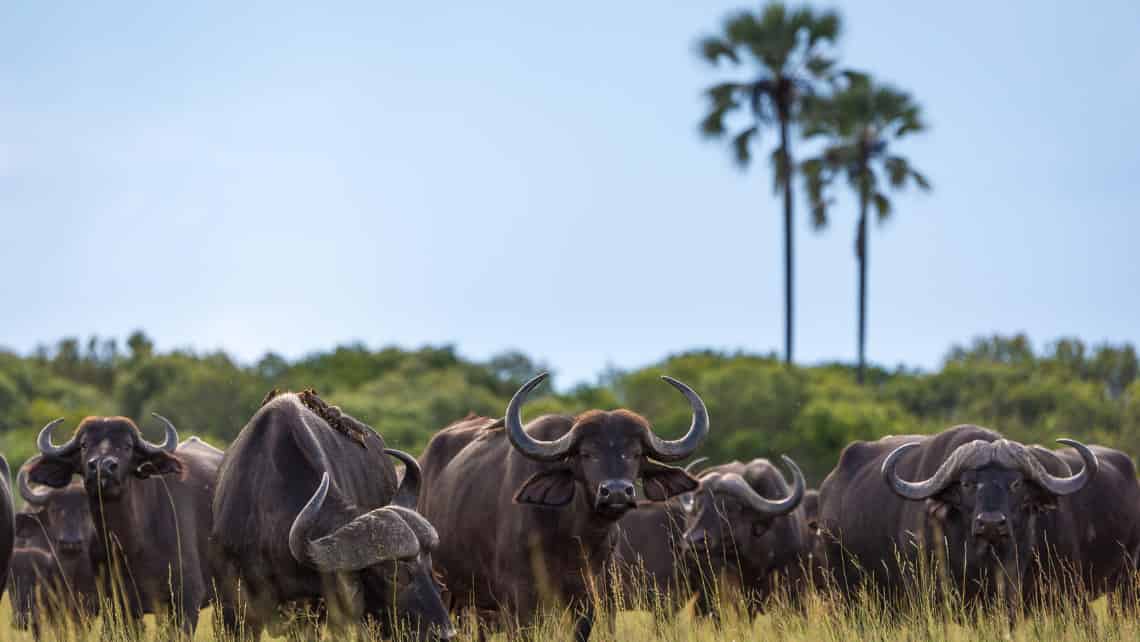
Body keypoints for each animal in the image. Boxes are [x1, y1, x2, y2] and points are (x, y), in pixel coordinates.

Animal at [27, 415, 222, 634]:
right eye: (84, 444)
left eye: (127, 445)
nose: (102, 466)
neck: (131, 546)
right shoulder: (116, 606)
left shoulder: (187, 600)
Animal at [417, 374, 702, 638]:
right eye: (587, 453)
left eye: (636, 453)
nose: (616, 492)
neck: (571, 537)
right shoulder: (517, 599)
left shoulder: (590, 597)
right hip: (445, 589)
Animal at [820, 424, 1094, 611]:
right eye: (967, 483)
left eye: (1016, 484)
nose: (990, 523)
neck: (974, 556)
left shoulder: (1010, 583)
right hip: (844, 587)